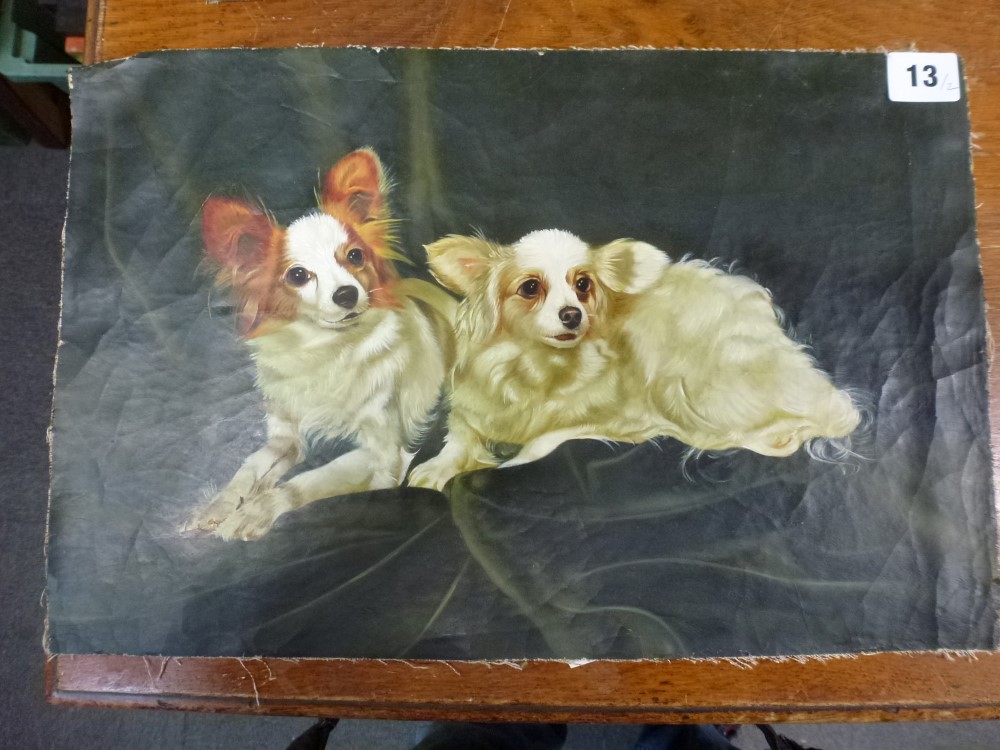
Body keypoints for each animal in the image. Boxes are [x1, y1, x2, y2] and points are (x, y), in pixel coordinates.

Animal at [187, 150, 454, 544]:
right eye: (298, 275)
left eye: (355, 256)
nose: (346, 294)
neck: (326, 348)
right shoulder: (286, 438)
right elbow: (248, 467)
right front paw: (216, 507)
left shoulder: (381, 452)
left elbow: (307, 479)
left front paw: (254, 512)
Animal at [406, 229, 860, 494]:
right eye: (530, 287)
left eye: (583, 285)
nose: (572, 315)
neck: (539, 367)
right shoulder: (472, 409)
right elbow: (459, 437)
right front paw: (437, 469)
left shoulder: (614, 417)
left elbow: (540, 445)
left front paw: (496, 463)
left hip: (689, 389)